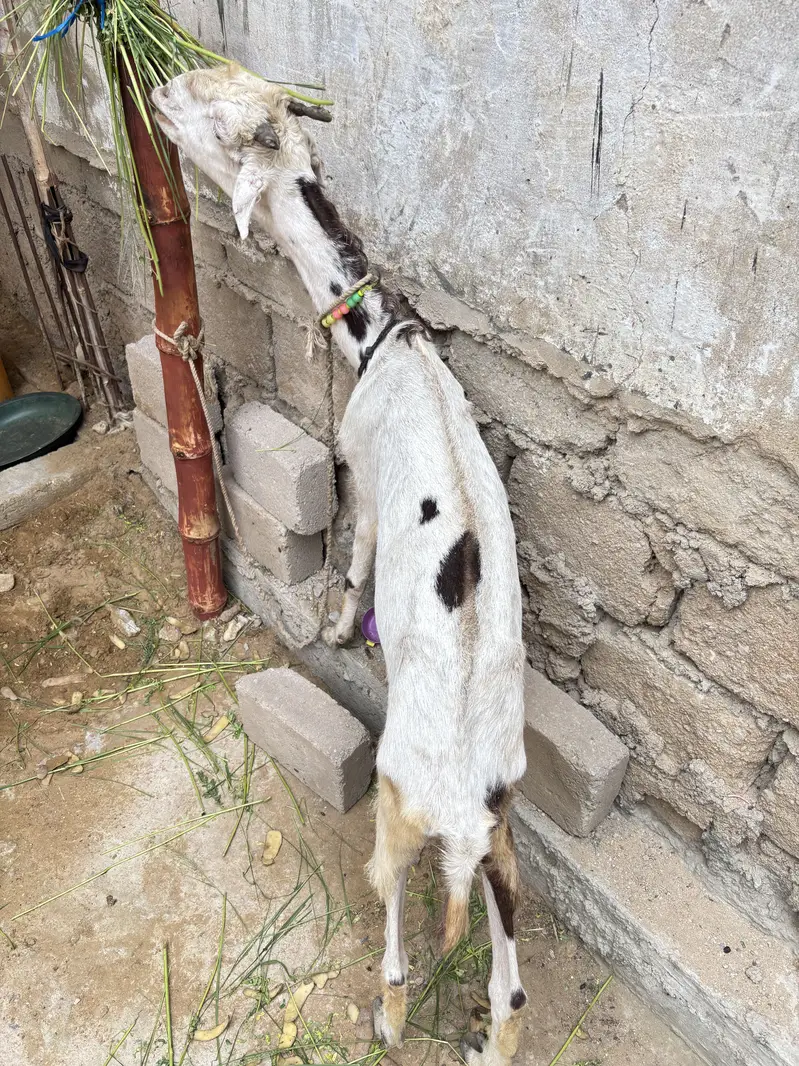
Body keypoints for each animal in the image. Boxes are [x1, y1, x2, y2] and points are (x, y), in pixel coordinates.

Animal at [152, 65, 528, 1066]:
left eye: (214, 123)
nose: (157, 92)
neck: (384, 339)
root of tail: (460, 809)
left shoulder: (358, 469)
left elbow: (356, 558)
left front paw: (332, 627)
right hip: (502, 842)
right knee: (510, 990)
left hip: (395, 816)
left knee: (394, 950)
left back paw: (387, 1020)